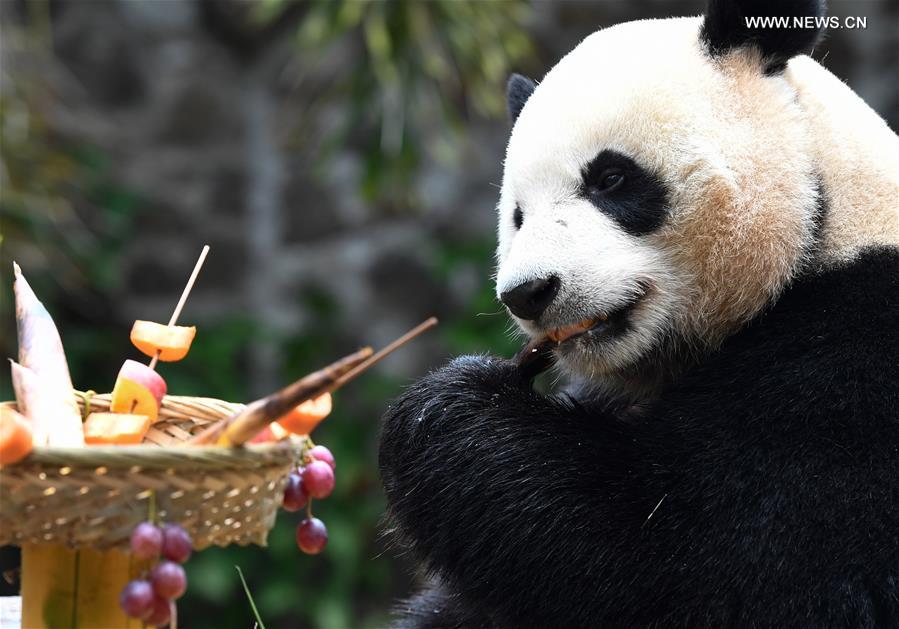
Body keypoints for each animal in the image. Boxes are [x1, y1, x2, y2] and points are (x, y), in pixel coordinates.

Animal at [379, 0, 899, 626]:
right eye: (518, 215)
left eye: (611, 178)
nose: (529, 292)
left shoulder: (858, 370)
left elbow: (691, 563)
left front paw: (445, 410)